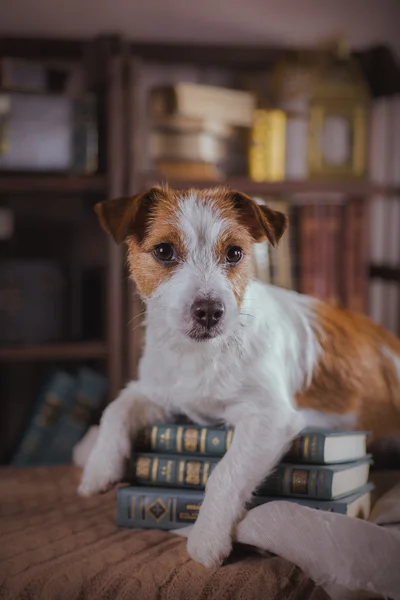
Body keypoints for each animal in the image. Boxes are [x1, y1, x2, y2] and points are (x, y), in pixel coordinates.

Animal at [78, 186, 400, 568]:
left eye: (234, 253)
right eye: (164, 251)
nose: (209, 311)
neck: (201, 354)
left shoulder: (270, 417)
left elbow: (225, 472)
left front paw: (206, 537)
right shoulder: (159, 393)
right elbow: (116, 408)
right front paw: (99, 468)